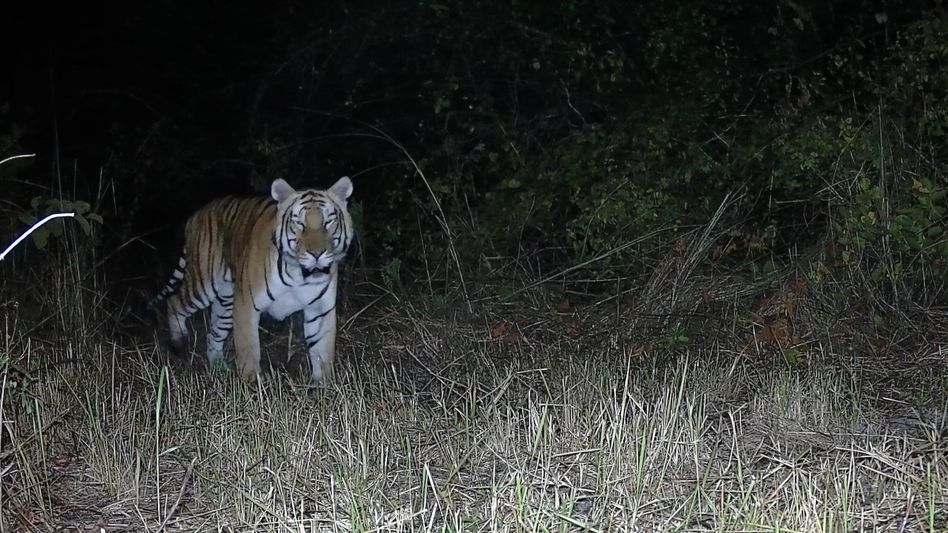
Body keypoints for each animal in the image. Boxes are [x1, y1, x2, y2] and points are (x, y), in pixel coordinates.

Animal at [151, 177, 354, 383]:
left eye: (328, 221)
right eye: (299, 223)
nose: (317, 254)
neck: (299, 274)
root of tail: (195, 215)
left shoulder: (320, 309)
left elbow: (322, 351)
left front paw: (324, 385)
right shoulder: (246, 305)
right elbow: (248, 348)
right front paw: (252, 384)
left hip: (225, 301)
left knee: (213, 334)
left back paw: (219, 369)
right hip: (204, 284)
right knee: (174, 301)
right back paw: (179, 343)